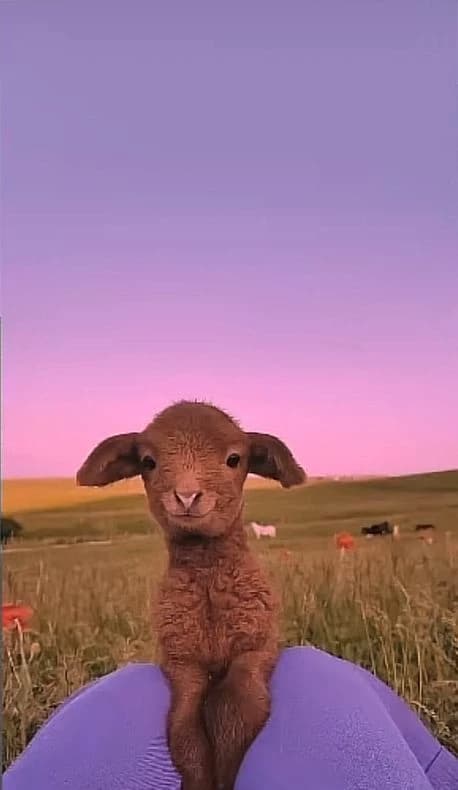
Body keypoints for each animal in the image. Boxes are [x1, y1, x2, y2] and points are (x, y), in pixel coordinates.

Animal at [76, 400, 306, 790]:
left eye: (234, 459)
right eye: (148, 462)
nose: (186, 496)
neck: (208, 587)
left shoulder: (256, 647)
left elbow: (235, 711)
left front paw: (227, 776)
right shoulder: (181, 662)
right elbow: (185, 732)